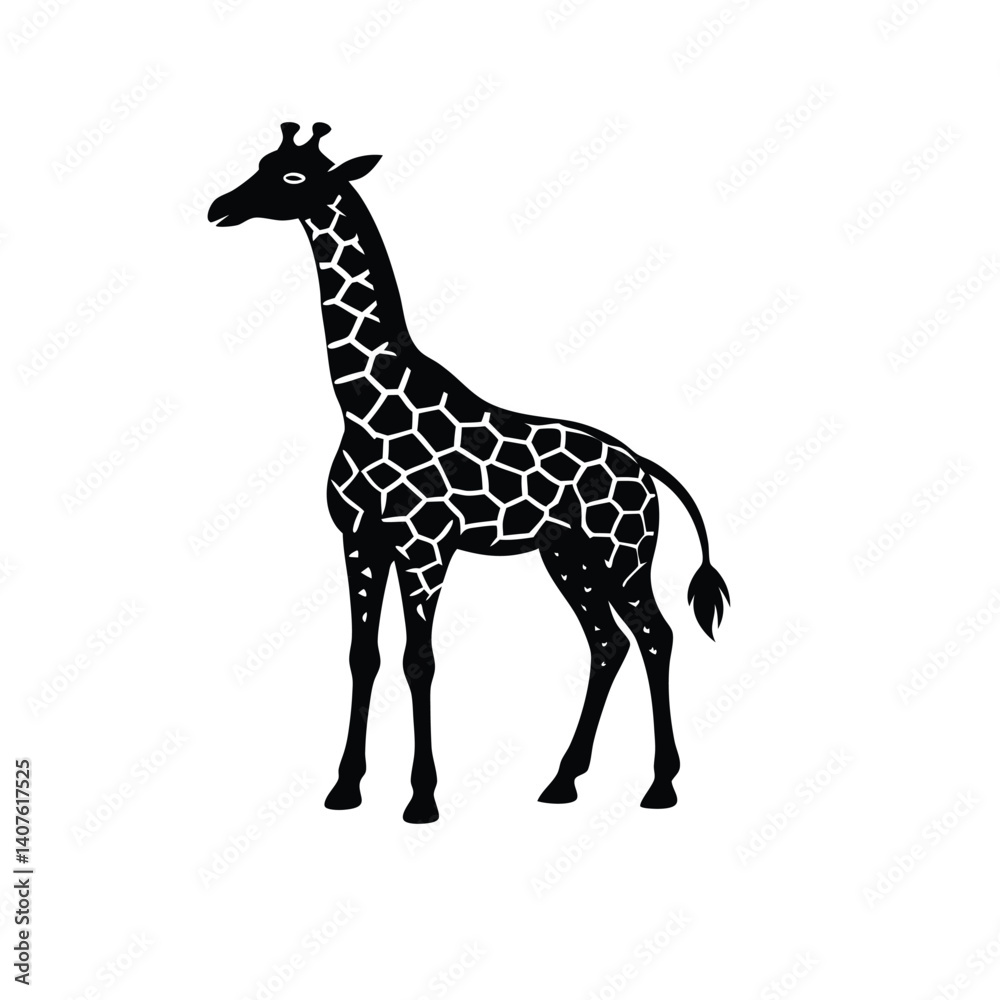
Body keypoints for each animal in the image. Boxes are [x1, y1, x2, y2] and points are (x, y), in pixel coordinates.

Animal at [208, 122, 730, 824]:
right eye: (260, 163)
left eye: (292, 177)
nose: (219, 208)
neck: (362, 405)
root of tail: (643, 465)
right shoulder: (359, 540)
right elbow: (363, 656)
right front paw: (345, 788)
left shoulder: (425, 547)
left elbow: (419, 660)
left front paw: (422, 798)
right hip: (568, 558)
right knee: (607, 643)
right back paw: (562, 781)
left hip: (622, 555)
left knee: (655, 634)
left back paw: (661, 786)